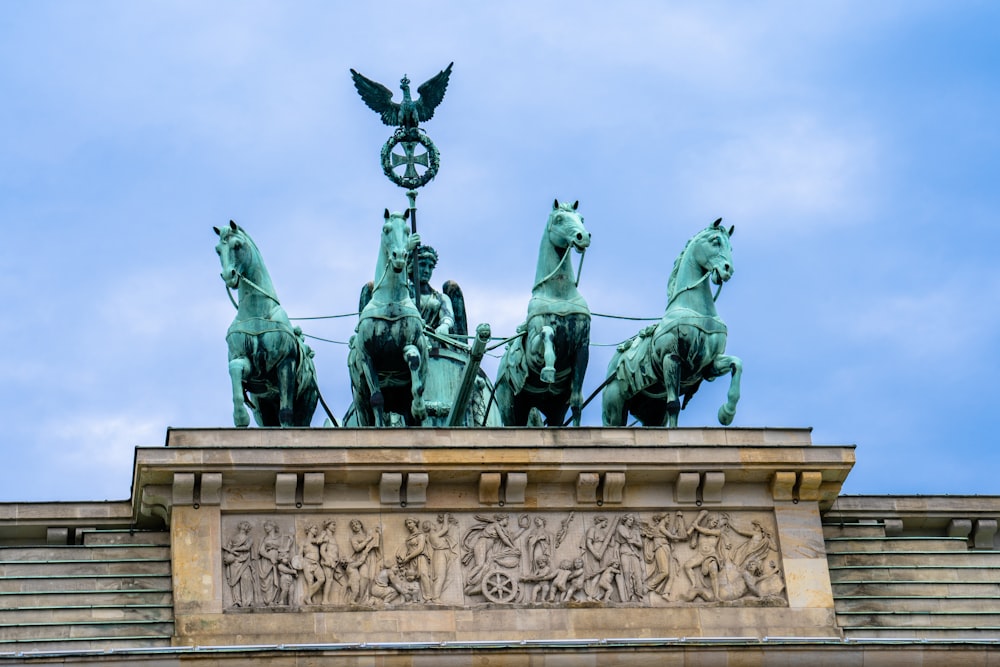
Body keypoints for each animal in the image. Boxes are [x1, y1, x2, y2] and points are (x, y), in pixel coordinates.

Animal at [214, 220, 316, 428]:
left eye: (237, 245)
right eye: (218, 250)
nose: (229, 276)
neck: (256, 311)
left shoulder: (285, 364)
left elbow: (286, 413)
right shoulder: (249, 365)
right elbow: (235, 368)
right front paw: (240, 418)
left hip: (306, 403)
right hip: (264, 408)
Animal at [346, 210, 428, 428]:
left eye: (407, 230)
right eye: (386, 229)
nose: (399, 257)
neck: (391, 301)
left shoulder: (410, 343)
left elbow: (414, 363)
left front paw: (419, 407)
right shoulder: (367, 356)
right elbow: (377, 398)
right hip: (359, 400)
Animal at [494, 200, 588, 428]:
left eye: (581, 218)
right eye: (559, 219)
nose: (583, 236)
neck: (559, 294)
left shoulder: (583, 346)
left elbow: (576, 401)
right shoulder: (533, 352)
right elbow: (547, 333)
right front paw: (549, 370)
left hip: (554, 408)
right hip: (510, 406)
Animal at [600, 219, 744, 428]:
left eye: (730, 247)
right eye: (715, 241)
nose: (728, 270)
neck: (693, 309)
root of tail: (612, 367)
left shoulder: (709, 364)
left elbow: (737, 364)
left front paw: (727, 413)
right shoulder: (671, 357)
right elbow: (673, 405)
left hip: (651, 411)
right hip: (614, 408)